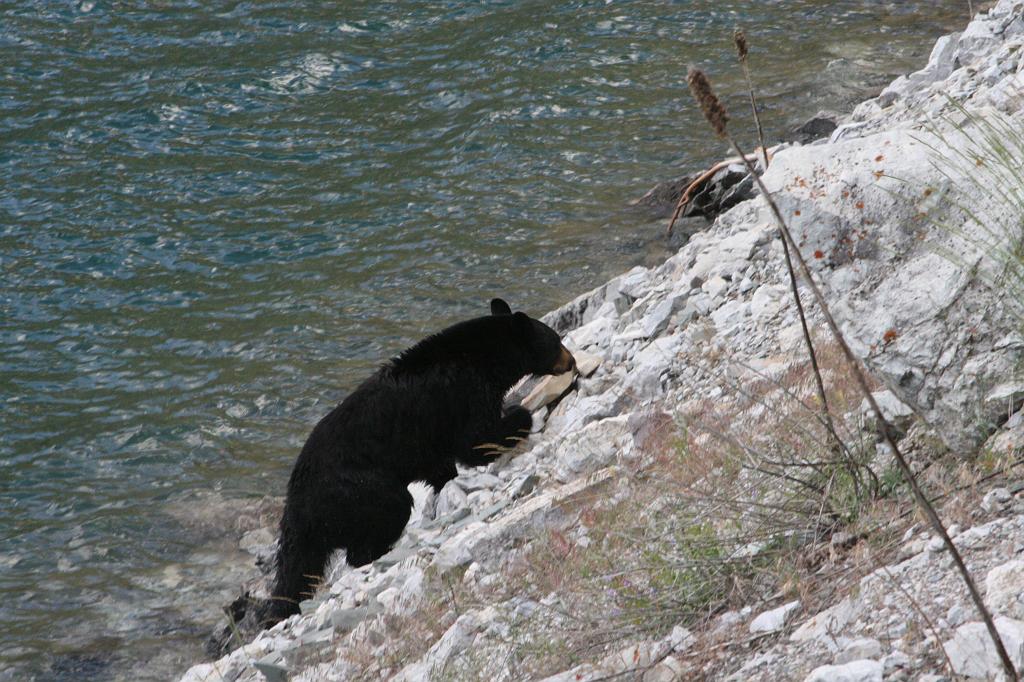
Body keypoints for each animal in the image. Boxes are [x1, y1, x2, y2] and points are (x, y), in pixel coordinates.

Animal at [264, 301, 573, 622]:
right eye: (556, 340)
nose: (572, 361)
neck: (485, 356)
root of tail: (294, 508)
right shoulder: (463, 393)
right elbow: (475, 439)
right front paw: (518, 414)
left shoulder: (428, 440)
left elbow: (441, 464)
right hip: (353, 491)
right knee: (389, 509)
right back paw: (379, 551)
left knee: (300, 567)